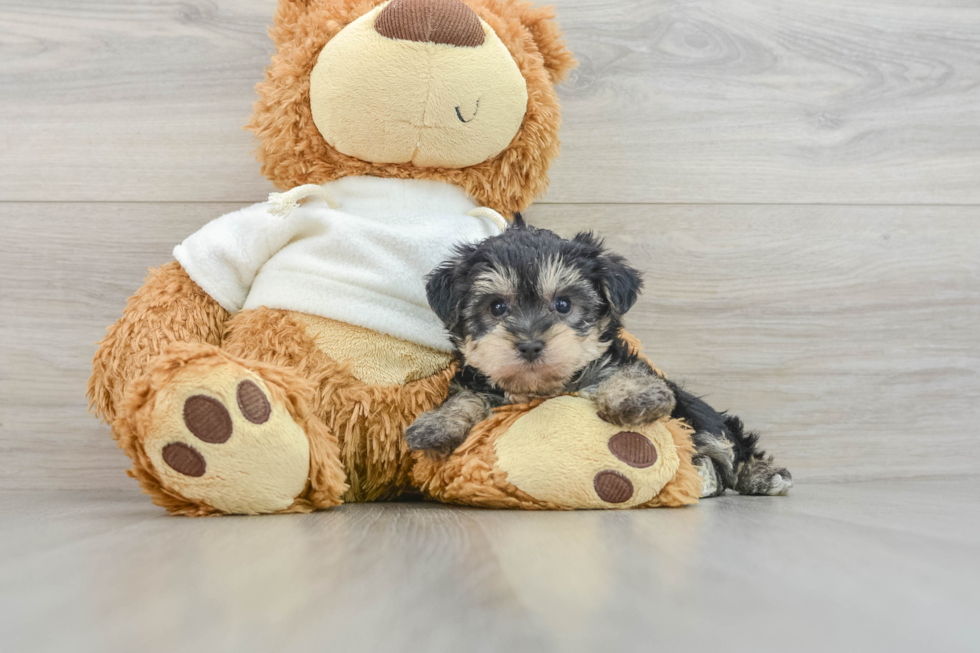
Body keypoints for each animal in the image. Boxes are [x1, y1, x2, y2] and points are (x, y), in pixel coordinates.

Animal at [408, 222, 796, 496]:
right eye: (497, 307)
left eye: (564, 304)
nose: (530, 344)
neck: (545, 389)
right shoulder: (478, 380)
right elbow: (464, 397)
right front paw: (438, 423)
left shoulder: (619, 363)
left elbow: (621, 372)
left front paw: (634, 396)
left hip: (701, 416)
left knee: (731, 445)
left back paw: (762, 476)